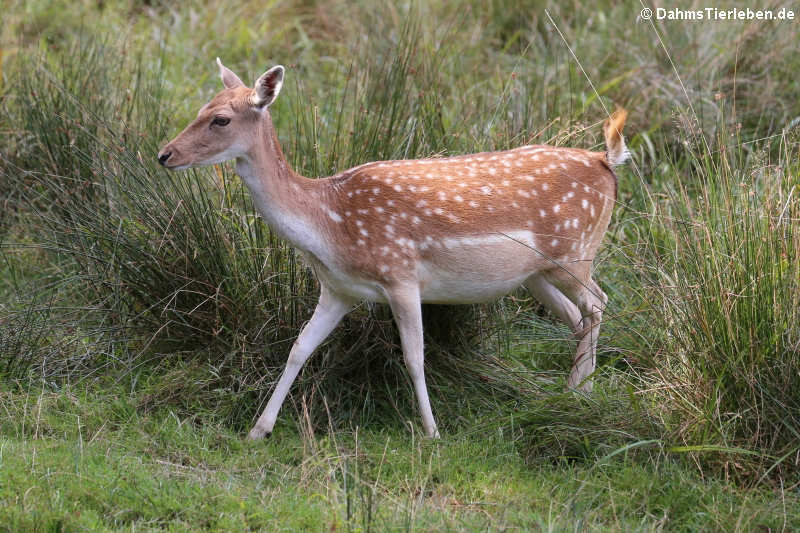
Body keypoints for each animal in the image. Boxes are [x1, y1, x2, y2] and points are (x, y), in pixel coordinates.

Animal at [158, 59, 632, 440]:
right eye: (200, 109)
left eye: (220, 119)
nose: (165, 154)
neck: (329, 225)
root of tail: (606, 161)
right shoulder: (338, 289)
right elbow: (299, 348)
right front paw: (259, 429)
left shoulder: (401, 274)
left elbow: (414, 357)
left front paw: (432, 432)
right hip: (536, 275)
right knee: (578, 316)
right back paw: (574, 393)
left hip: (575, 252)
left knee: (598, 303)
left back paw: (580, 393)